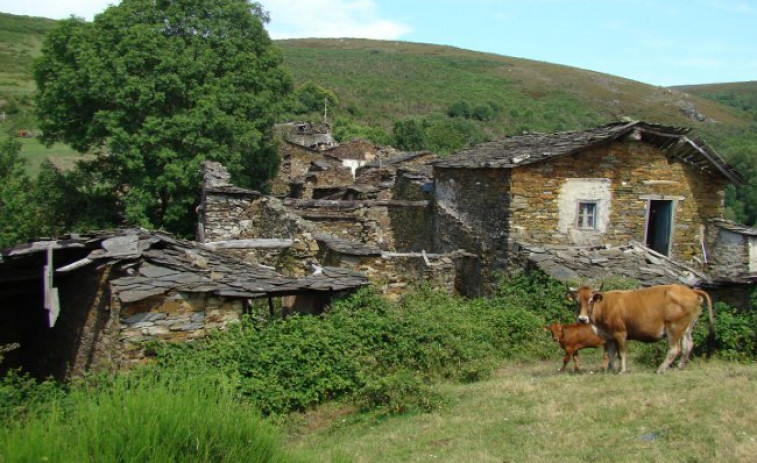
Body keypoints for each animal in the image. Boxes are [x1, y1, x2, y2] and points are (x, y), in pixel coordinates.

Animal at [568, 284, 712, 376]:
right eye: (577, 300)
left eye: (591, 300)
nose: (582, 319)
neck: (605, 305)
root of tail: (691, 291)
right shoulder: (609, 336)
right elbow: (610, 354)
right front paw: (611, 369)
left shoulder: (620, 333)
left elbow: (621, 353)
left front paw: (622, 370)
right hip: (687, 328)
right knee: (688, 345)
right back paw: (680, 366)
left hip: (674, 327)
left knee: (675, 349)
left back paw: (661, 369)